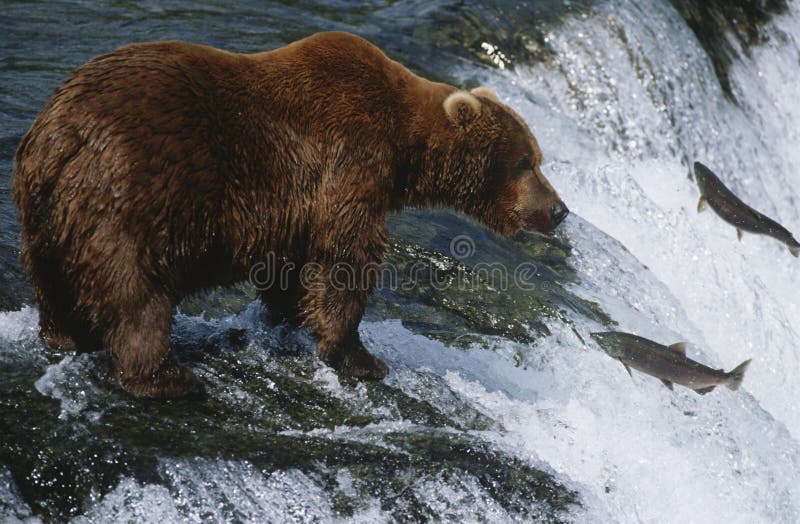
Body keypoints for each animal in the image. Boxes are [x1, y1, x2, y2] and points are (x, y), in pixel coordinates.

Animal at [10, 31, 564, 398]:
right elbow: (347, 258)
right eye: (525, 162)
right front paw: (360, 357)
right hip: (134, 194)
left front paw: (289, 318)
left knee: (53, 279)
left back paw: (65, 336)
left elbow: (294, 267)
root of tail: (61, 133)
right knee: (135, 290)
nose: (558, 210)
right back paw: (165, 376)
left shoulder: (296, 207)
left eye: (538, 157)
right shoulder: (350, 159)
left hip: (45, 210)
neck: (402, 144)